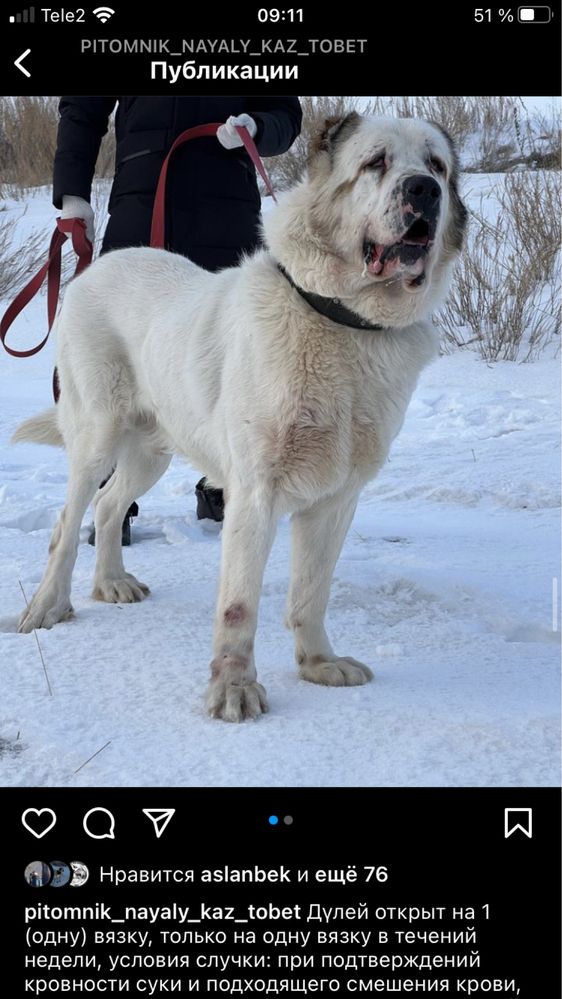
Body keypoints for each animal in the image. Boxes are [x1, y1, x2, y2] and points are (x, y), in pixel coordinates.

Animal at [15, 115, 466, 720]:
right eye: (376, 162)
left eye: (436, 165)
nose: (424, 190)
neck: (343, 319)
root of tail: (93, 267)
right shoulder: (254, 493)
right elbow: (238, 607)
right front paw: (233, 689)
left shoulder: (336, 500)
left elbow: (311, 593)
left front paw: (319, 665)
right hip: (97, 437)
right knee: (68, 522)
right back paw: (47, 606)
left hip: (152, 450)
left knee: (109, 506)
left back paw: (111, 584)